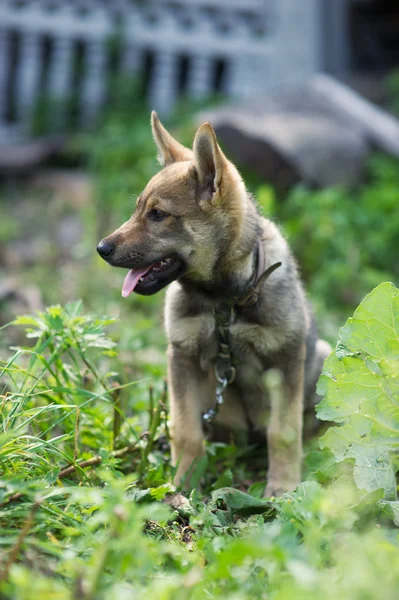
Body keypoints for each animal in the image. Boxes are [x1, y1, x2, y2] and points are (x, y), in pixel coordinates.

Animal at [97, 112, 332, 496]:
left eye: (158, 215)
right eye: (137, 210)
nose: (101, 248)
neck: (225, 302)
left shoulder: (285, 359)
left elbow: (284, 432)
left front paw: (283, 488)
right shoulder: (182, 357)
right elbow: (186, 431)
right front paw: (182, 485)